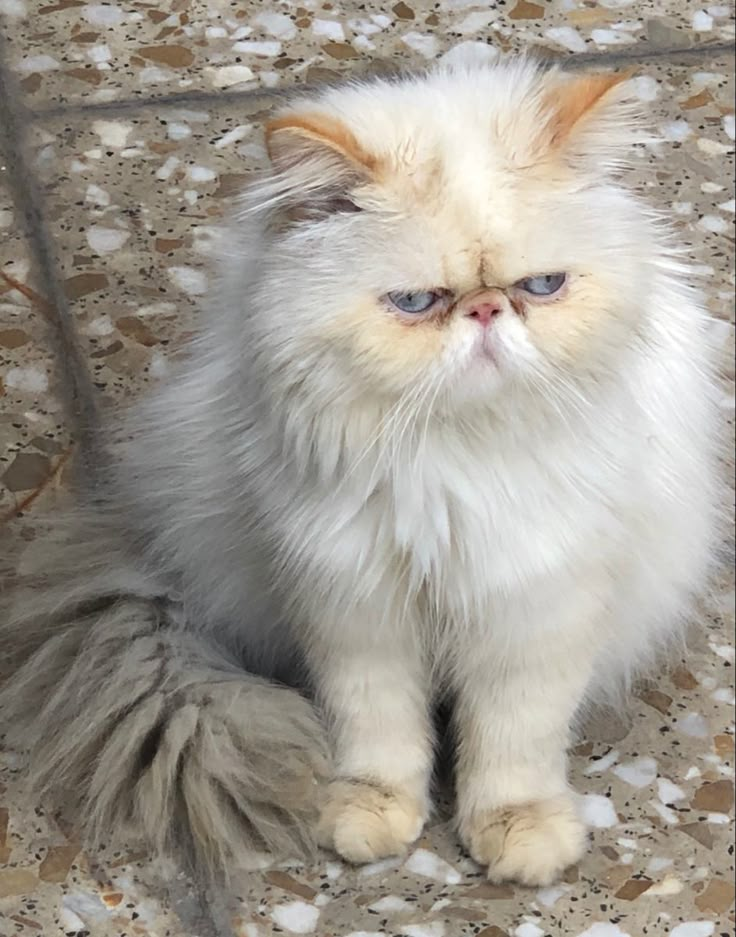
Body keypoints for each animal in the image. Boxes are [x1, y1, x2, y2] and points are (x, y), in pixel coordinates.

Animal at [1, 54, 724, 888]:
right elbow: (379, 731)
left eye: (540, 287)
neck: (454, 459)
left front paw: (519, 835)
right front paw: (368, 815)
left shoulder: (533, 609)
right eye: (415, 301)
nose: (485, 313)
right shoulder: (352, 604)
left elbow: (512, 743)